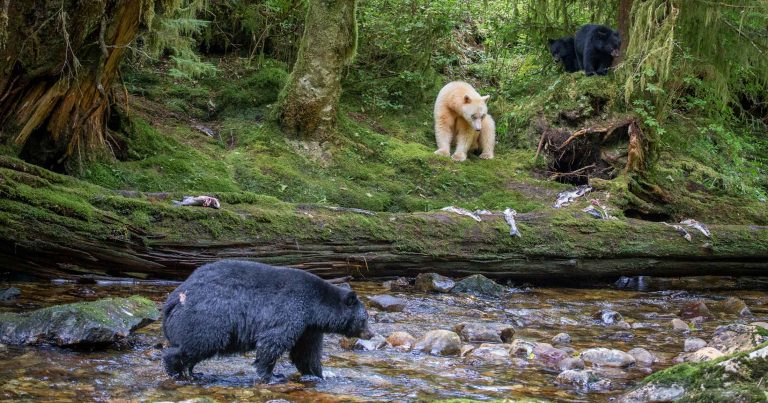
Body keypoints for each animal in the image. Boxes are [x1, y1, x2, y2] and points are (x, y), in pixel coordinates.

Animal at [161, 260, 371, 383]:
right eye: (365, 318)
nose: (371, 334)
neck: (315, 308)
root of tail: (173, 301)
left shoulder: (308, 329)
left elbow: (307, 353)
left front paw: (319, 374)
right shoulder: (292, 311)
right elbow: (272, 342)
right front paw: (271, 376)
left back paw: (193, 373)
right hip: (208, 318)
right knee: (197, 344)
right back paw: (175, 370)